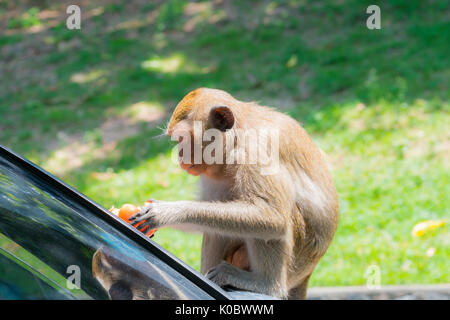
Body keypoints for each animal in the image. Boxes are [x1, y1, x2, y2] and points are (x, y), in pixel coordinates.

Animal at [130, 88, 338, 300]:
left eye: (182, 138)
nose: (179, 155)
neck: (238, 137)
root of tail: (307, 274)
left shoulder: (256, 152)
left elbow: (273, 216)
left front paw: (168, 212)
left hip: (299, 258)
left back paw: (265, 284)